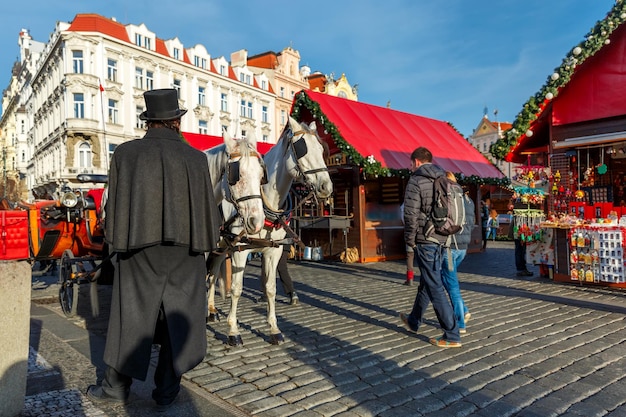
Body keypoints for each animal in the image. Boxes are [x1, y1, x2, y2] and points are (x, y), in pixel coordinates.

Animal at [211, 116, 332, 344]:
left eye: (321, 149)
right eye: (301, 149)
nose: (326, 187)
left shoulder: (273, 251)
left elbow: (270, 288)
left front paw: (274, 328)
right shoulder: (240, 252)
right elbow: (237, 289)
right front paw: (233, 330)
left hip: (222, 247)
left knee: (212, 273)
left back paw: (211, 310)